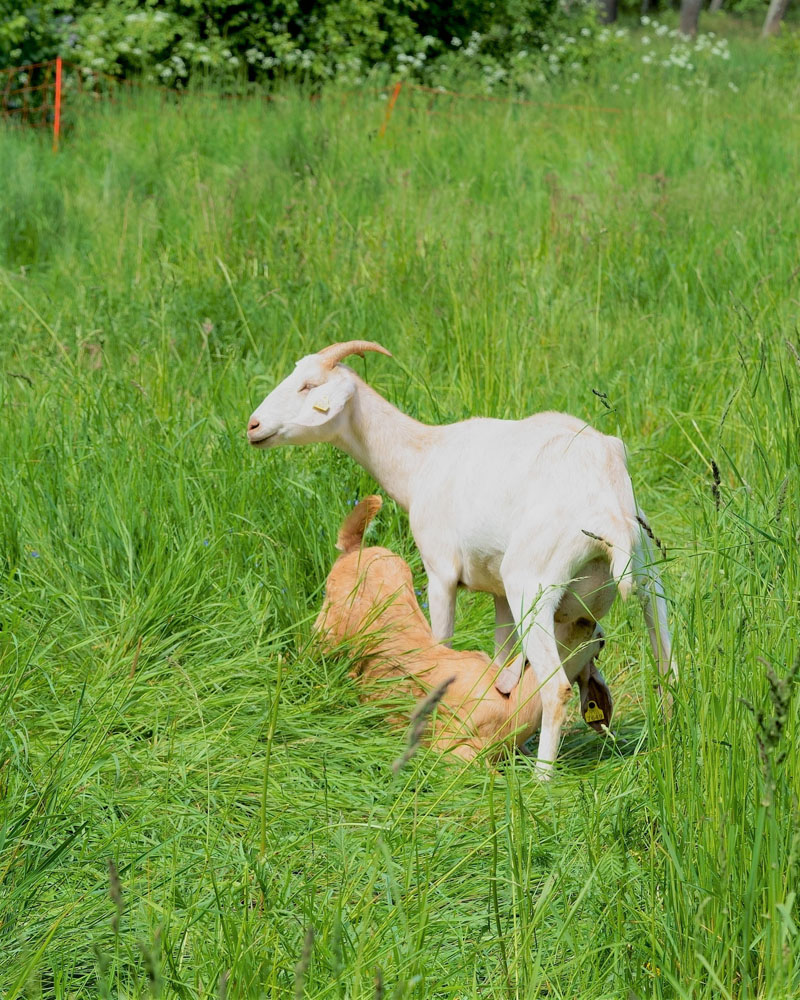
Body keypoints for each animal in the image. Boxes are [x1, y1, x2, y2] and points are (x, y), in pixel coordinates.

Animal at [248, 340, 676, 776]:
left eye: (308, 385)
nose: (253, 426)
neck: (423, 458)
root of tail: (609, 512)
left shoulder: (440, 573)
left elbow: (441, 642)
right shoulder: (498, 592)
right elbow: (502, 659)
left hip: (533, 587)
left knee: (555, 687)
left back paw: (542, 778)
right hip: (648, 581)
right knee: (667, 669)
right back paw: (668, 748)